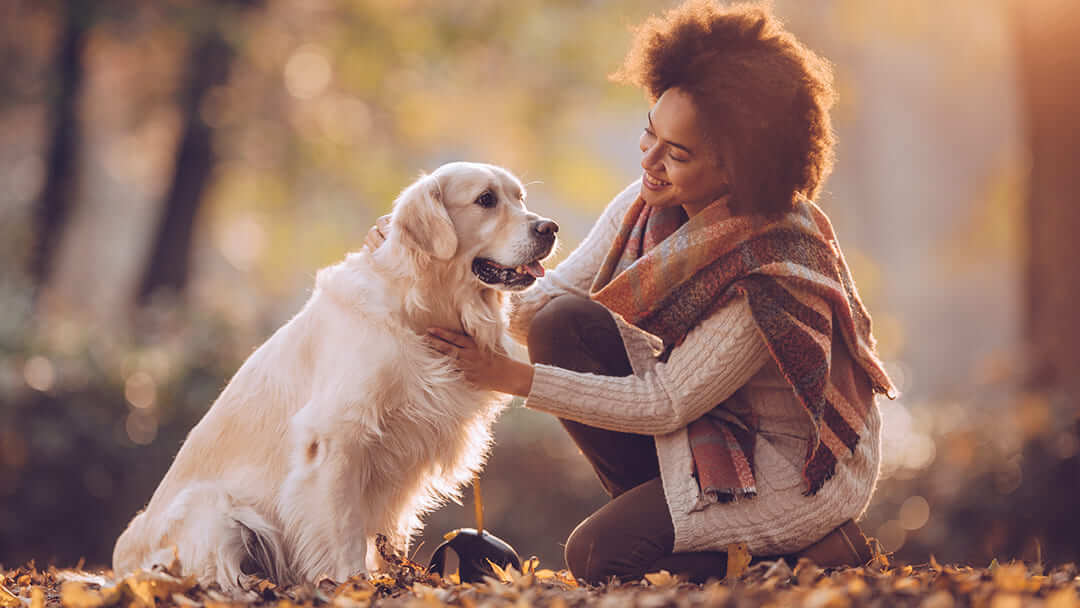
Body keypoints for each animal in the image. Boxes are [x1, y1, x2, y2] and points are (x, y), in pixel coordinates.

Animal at [113, 163, 561, 596]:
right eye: (486, 200)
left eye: (519, 197)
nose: (550, 228)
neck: (416, 310)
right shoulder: (337, 438)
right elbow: (343, 525)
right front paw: (354, 583)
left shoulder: (407, 448)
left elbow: (391, 530)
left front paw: (400, 578)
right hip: (212, 509)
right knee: (212, 572)